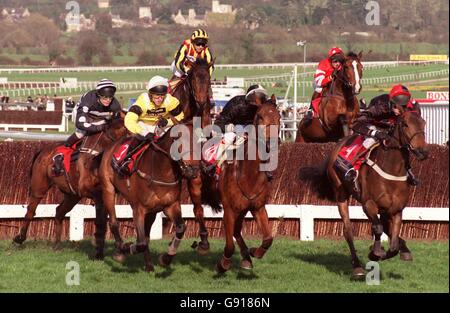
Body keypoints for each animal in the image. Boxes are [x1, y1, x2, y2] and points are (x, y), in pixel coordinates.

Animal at [13, 116, 126, 258]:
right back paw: (19, 238)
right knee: (30, 211)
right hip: (39, 187)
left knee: (59, 212)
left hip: (72, 195)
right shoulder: (92, 192)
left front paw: (101, 250)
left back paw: (56, 245)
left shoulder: (105, 193)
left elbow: (104, 221)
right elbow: (101, 221)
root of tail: (43, 151)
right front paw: (100, 247)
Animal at [99, 122, 200, 270]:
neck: (161, 170)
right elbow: (140, 243)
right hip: (108, 190)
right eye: (179, 140)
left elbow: (180, 228)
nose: (193, 170)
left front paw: (165, 258)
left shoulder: (171, 205)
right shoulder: (138, 209)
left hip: (152, 211)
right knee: (114, 223)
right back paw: (120, 250)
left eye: (200, 141)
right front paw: (127, 247)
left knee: (146, 235)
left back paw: (148, 265)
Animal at [215, 96, 282, 272]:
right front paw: (223, 264)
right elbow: (229, 246)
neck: (248, 174)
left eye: (279, 117)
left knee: (237, 231)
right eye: (260, 116)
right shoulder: (229, 210)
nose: (272, 142)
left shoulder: (257, 207)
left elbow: (268, 238)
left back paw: (246, 258)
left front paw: (254, 252)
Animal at [300, 109, 428, 278]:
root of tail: (339, 144)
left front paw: (390, 250)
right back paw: (357, 266)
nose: (422, 152)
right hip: (341, 194)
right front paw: (374, 253)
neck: (392, 170)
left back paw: (404, 250)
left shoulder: (396, 209)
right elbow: (378, 228)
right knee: (348, 230)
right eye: (405, 124)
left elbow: (393, 245)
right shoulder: (368, 204)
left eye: (423, 123)